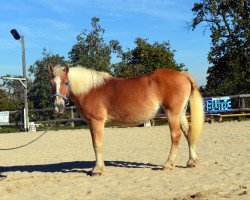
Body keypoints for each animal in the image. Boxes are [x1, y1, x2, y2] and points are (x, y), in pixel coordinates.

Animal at [47, 64, 204, 175]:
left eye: (66, 82)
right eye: (51, 83)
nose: (58, 106)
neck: (90, 89)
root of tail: (182, 74)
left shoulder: (97, 121)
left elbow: (97, 144)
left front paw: (97, 169)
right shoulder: (90, 124)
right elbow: (94, 144)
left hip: (172, 114)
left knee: (176, 136)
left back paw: (168, 164)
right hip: (181, 114)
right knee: (188, 132)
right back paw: (191, 161)